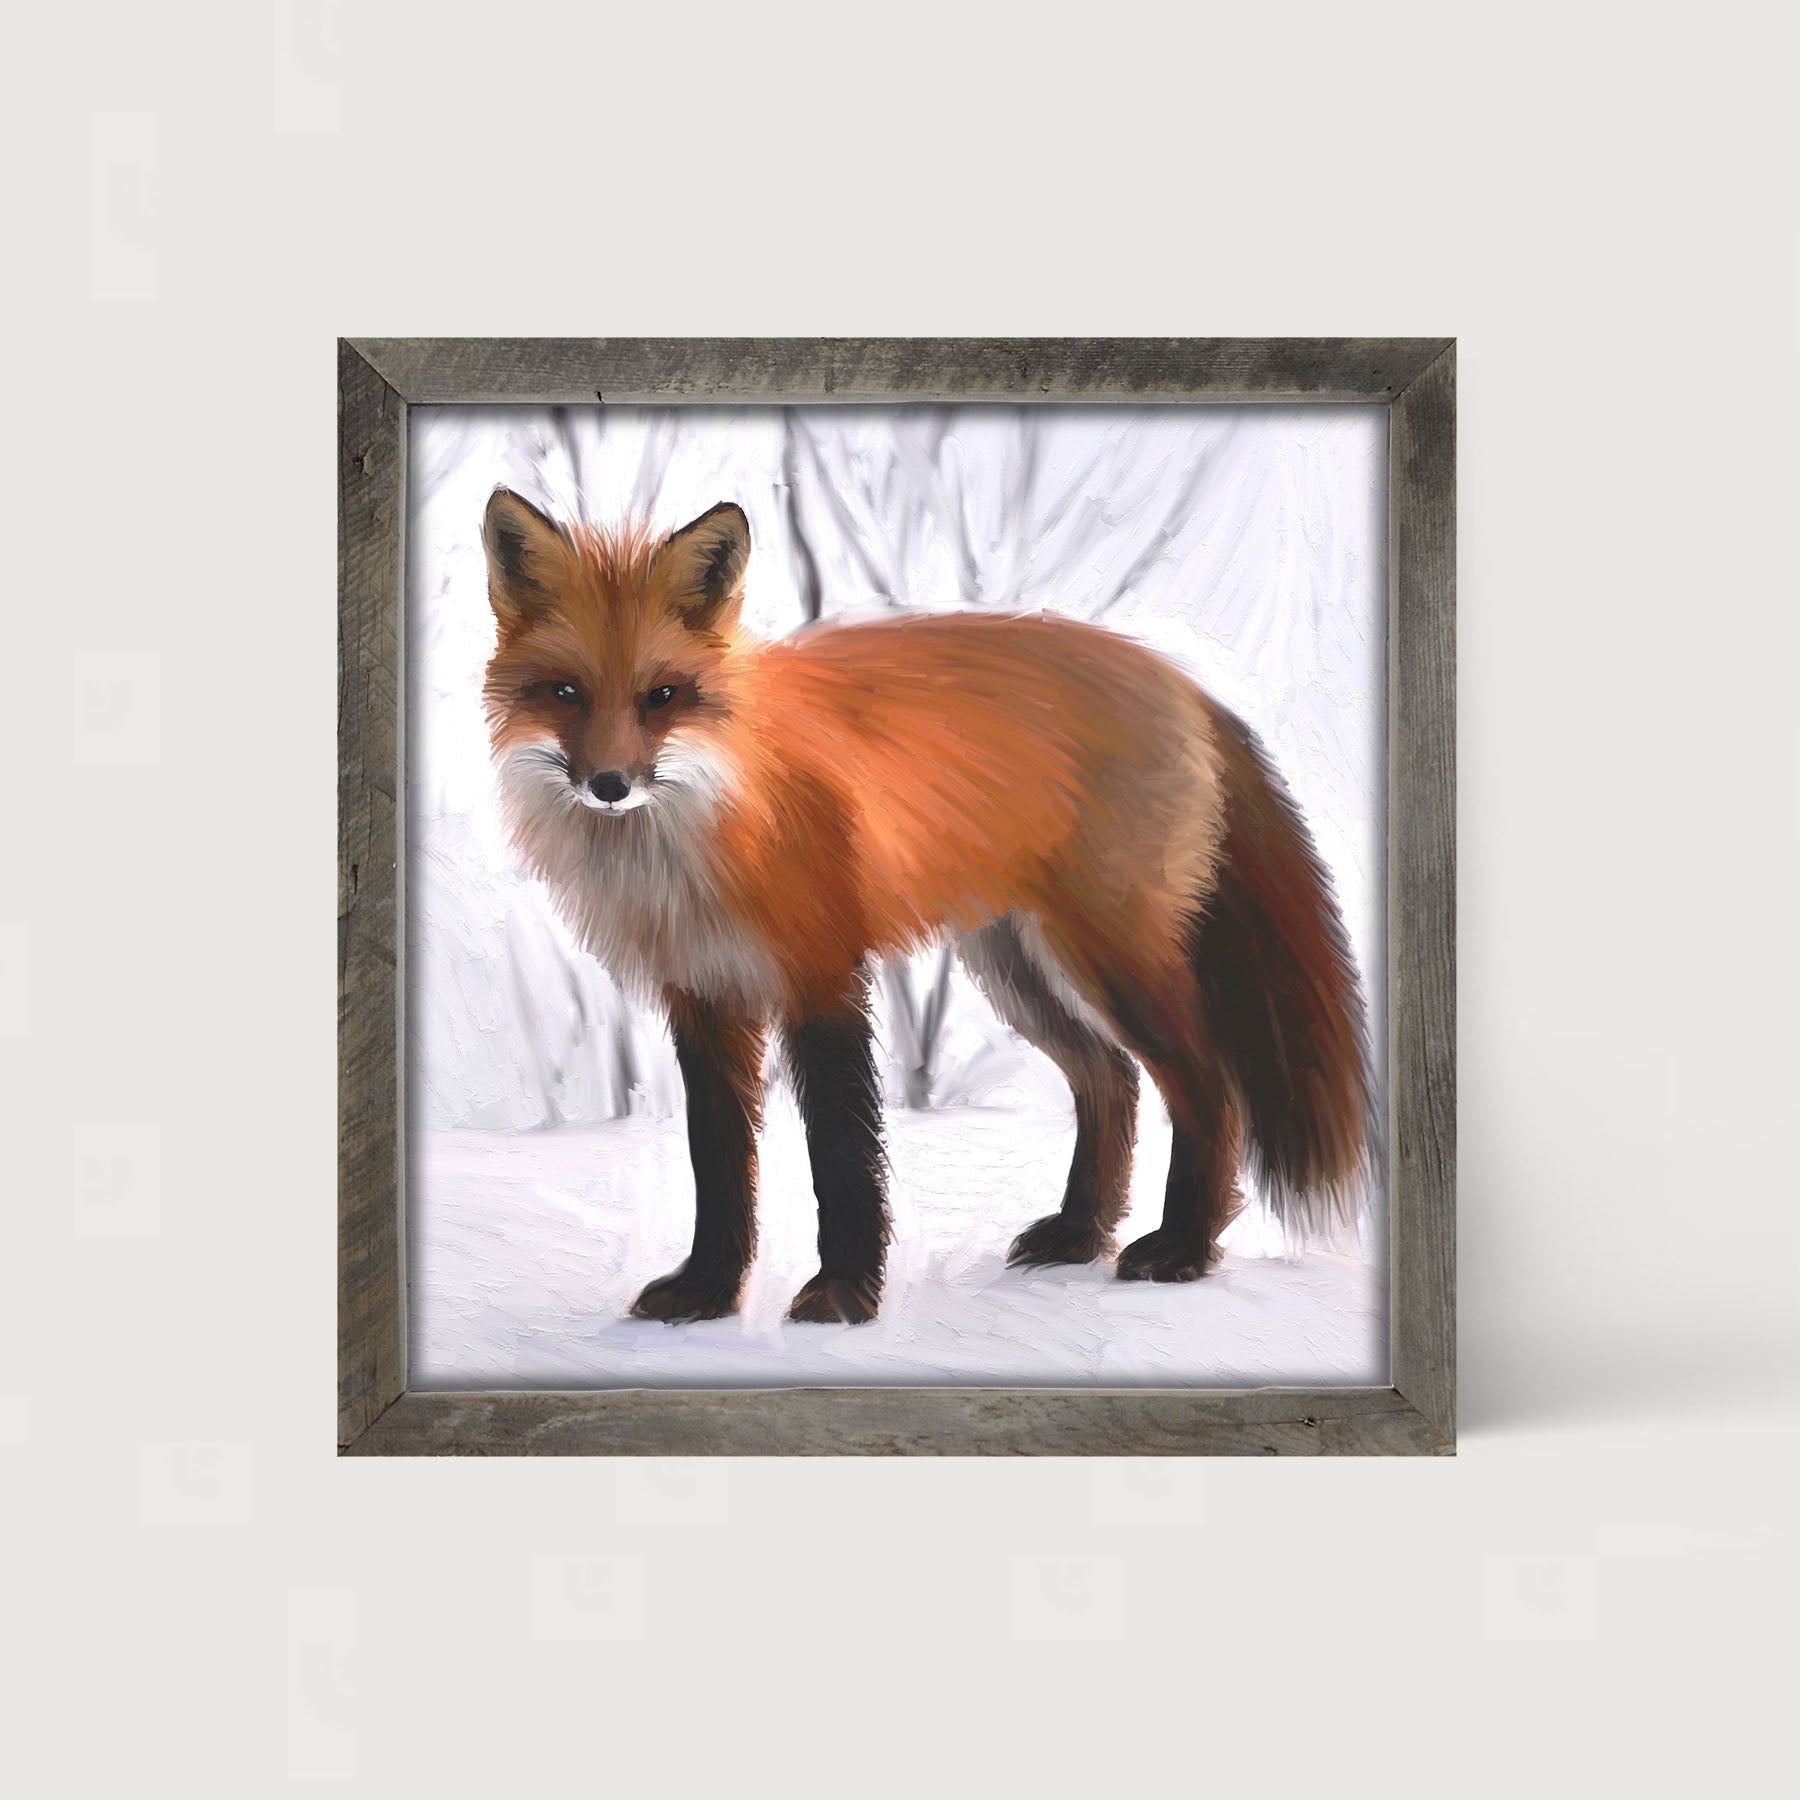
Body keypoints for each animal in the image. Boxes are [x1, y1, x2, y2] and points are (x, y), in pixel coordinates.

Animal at [481, 488, 1375, 1324]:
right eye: (565, 692)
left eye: (663, 695)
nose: (609, 785)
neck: (701, 835)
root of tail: (1179, 679)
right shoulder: (703, 997)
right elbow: (720, 1163)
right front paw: (707, 1291)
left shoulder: (822, 976)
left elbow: (841, 1153)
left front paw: (843, 1295)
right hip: (1016, 968)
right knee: (1109, 1079)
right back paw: (1080, 1234)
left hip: (1113, 960)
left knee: (1206, 1087)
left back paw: (1183, 1249)